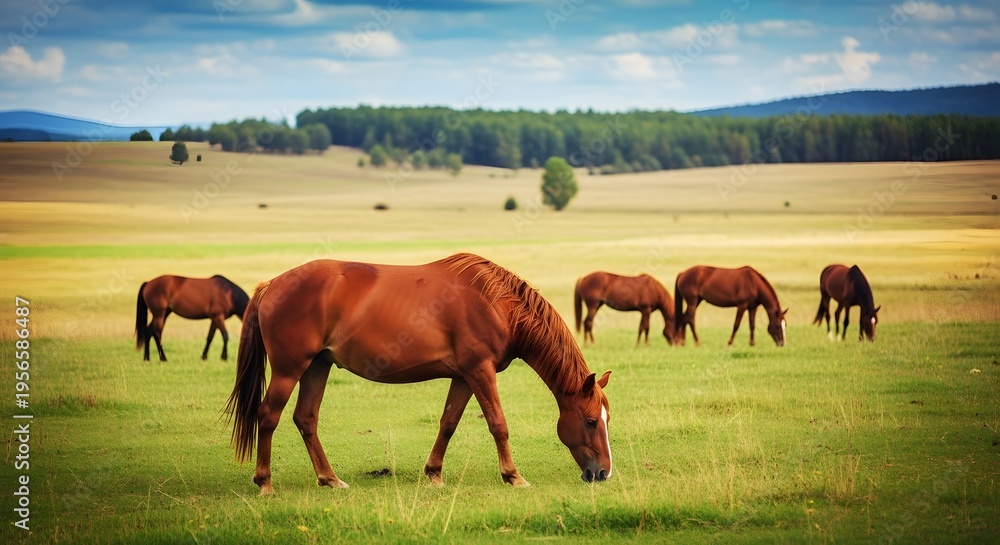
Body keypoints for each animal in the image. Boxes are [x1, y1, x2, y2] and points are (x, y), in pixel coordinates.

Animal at [225, 253, 613, 494]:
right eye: (591, 421)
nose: (603, 473)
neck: (496, 303)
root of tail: (272, 285)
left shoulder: (464, 376)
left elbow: (449, 423)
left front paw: (434, 474)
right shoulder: (480, 370)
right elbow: (498, 423)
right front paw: (513, 476)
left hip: (317, 366)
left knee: (306, 419)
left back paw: (330, 479)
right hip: (290, 370)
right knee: (268, 416)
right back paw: (265, 482)